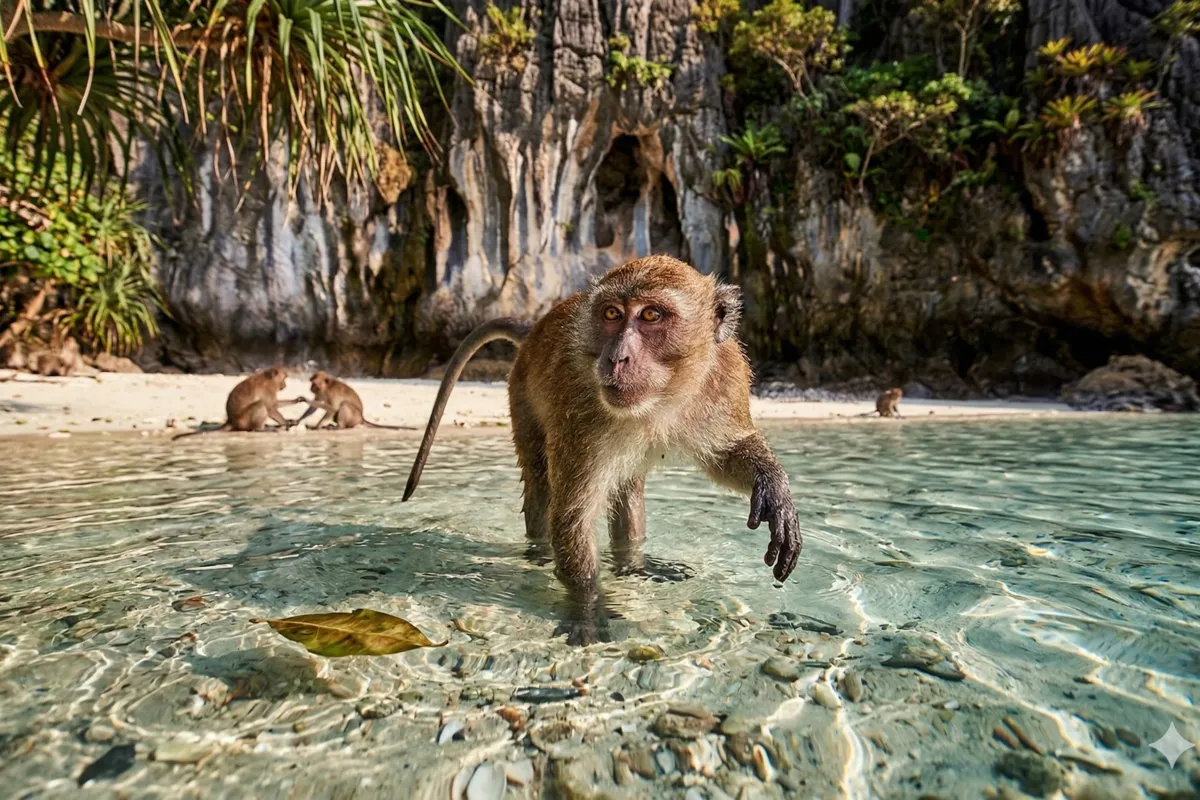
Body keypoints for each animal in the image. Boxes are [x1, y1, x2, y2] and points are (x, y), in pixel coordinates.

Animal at [172, 367, 305, 440]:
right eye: (285, 378)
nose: (285, 385)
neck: (268, 378)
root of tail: (231, 420)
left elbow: (275, 404)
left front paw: (298, 400)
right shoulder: (268, 388)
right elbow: (271, 408)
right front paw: (287, 423)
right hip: (244, 420)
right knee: (260, 404)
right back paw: (260, 429)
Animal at [402, 255, 802, 644]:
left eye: (651, 315)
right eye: (611, 313)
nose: (616, 357)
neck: (663, 398)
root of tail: (535, 330)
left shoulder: (726, 379)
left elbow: (727, 454)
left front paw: (773, 486)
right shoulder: (579, 415)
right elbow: (572, 516)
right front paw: (588, 608)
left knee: (627, 487)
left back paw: (633, 564)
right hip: (521, 392)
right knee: (540, 482)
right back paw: (539, 556)